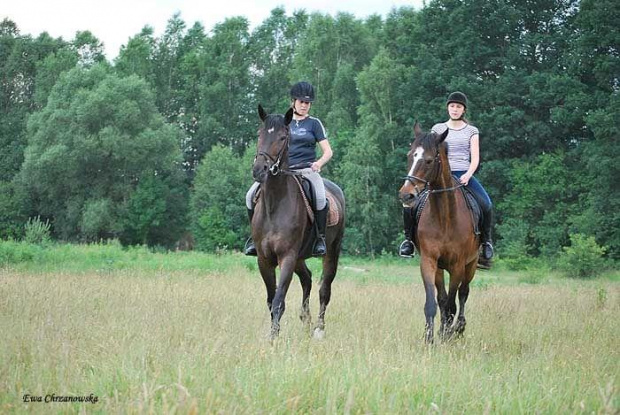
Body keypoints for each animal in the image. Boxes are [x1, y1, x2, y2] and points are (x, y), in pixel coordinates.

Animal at [253, 105, 348, 340]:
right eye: (259, 134)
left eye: (282, 137)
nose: (259, 170)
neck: (274, 205)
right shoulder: (264, 259)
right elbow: (271, 300)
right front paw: (273, 335)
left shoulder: (287, 256)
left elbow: (278, 300)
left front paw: (274, 339)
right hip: (299, 257)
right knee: (307, 278)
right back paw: (306, 320)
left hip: (331, 252)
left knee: (325, 288)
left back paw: (319, 329)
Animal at [398, 122, 480, 344]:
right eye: (410, 156)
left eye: (428, 160)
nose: (406, 195)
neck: (444, 217)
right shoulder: (429, 261)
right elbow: (434, 302)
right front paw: (429, 338)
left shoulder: (458, 265)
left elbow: (453, 303)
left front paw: (447, 334)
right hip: (441, 269)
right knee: (443, 298)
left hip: (471, 264)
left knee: (463, 293)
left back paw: (459, 328)